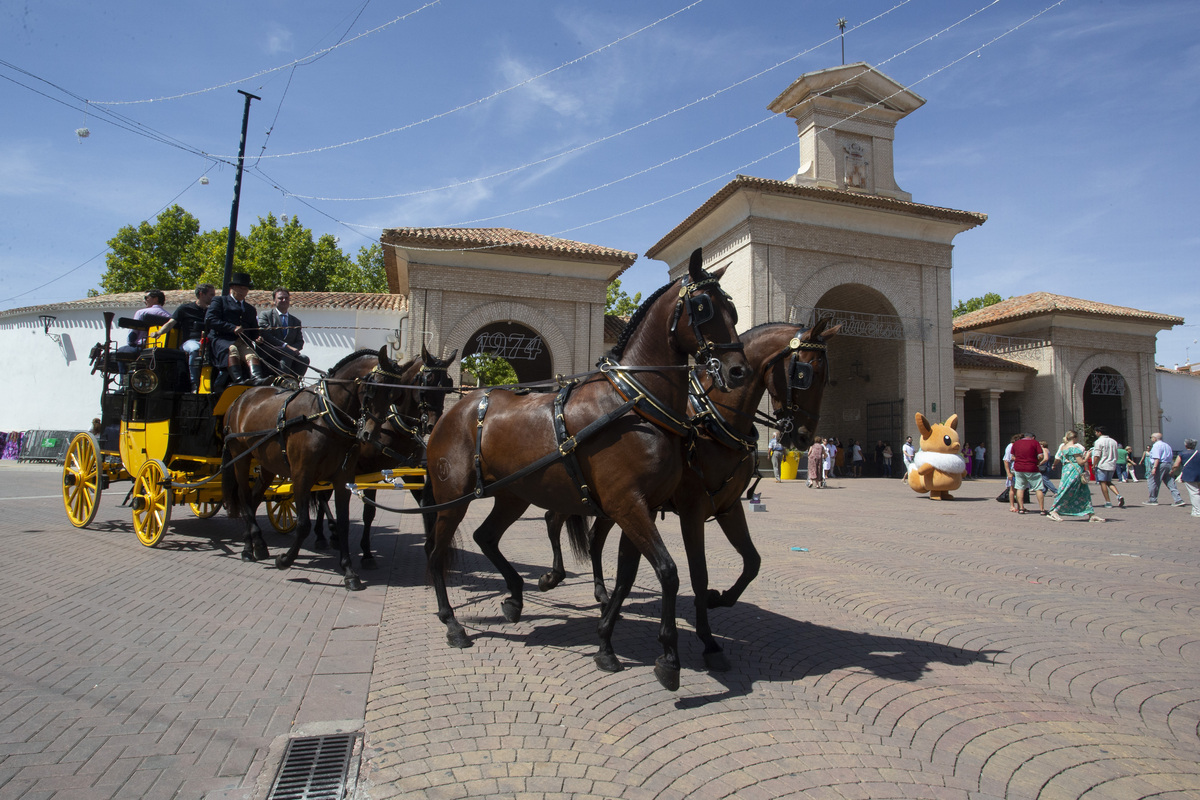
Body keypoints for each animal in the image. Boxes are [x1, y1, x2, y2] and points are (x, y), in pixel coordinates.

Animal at [220, 347, 412, 592]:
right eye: (372, 388)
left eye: (394, 396)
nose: (369, 434)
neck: (325, 416)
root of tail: (241, 398)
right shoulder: (302, 476)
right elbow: (302, 525)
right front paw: (285, 559)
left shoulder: (343, 478)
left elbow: (343, 524)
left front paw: (349, 572)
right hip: (241, 458)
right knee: (243, 497)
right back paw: (247, 547)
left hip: (267, 465)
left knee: (253, 499)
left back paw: (259, 544)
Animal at [309, 347, 458, 566]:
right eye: (427, 380)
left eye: (448, 385)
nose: (434, 425)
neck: (393, 423)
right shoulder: (370, 471)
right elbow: (369, 513)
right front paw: (367, 553)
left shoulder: (410, 470)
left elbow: (426, 505)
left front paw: (433, 548)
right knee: (322, 496)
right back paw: (328, 533)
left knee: (322, 495)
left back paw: (323, 534)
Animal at [417, 248, 744, 690]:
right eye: (703, 306)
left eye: (733, 309)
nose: (737, 371)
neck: (632, 405)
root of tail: (453, 414)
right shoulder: (628, 505)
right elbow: (669, 572)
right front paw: (669, 659)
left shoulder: (637, 508)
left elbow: (627, 577)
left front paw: (606, 644)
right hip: (453, 497)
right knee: (436, 553)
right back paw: (452, 623)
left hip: (512, 495)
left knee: (486, 537)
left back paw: (515, 597)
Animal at [542, 319, 835, 671]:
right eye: (805, 373)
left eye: (828, 378)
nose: (804, 437)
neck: (712, 419)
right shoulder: (691, 511)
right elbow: (699, 573)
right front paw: (707, 640)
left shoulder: (727, 507)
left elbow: (752, 561)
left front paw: (719, 599)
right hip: (582, 494)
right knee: (553, 519)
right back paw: (554, 576)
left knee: (594, 539)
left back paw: (601, 594)